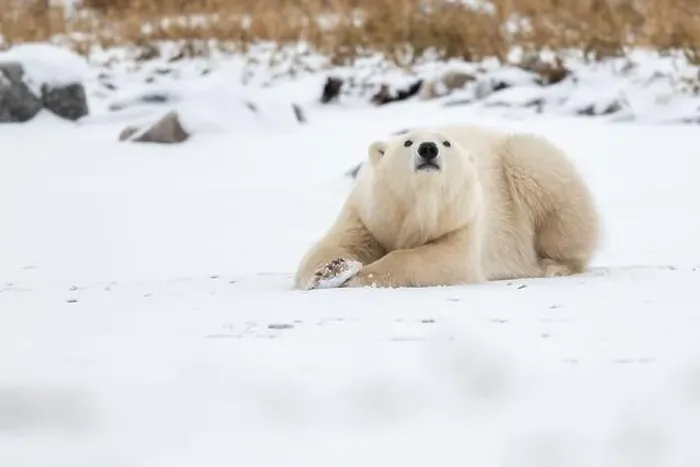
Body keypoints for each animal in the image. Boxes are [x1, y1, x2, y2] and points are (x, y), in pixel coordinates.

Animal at [294, 123, 601, 290]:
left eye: (447, 142)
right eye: (407, 142)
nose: (428, 148)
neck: (420, 207)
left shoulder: (463, 219)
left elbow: (445, 259)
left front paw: (360, 275)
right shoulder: (367, 216)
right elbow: (331, 247)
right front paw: (331, 271)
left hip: (526, 165)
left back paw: (553, 265)